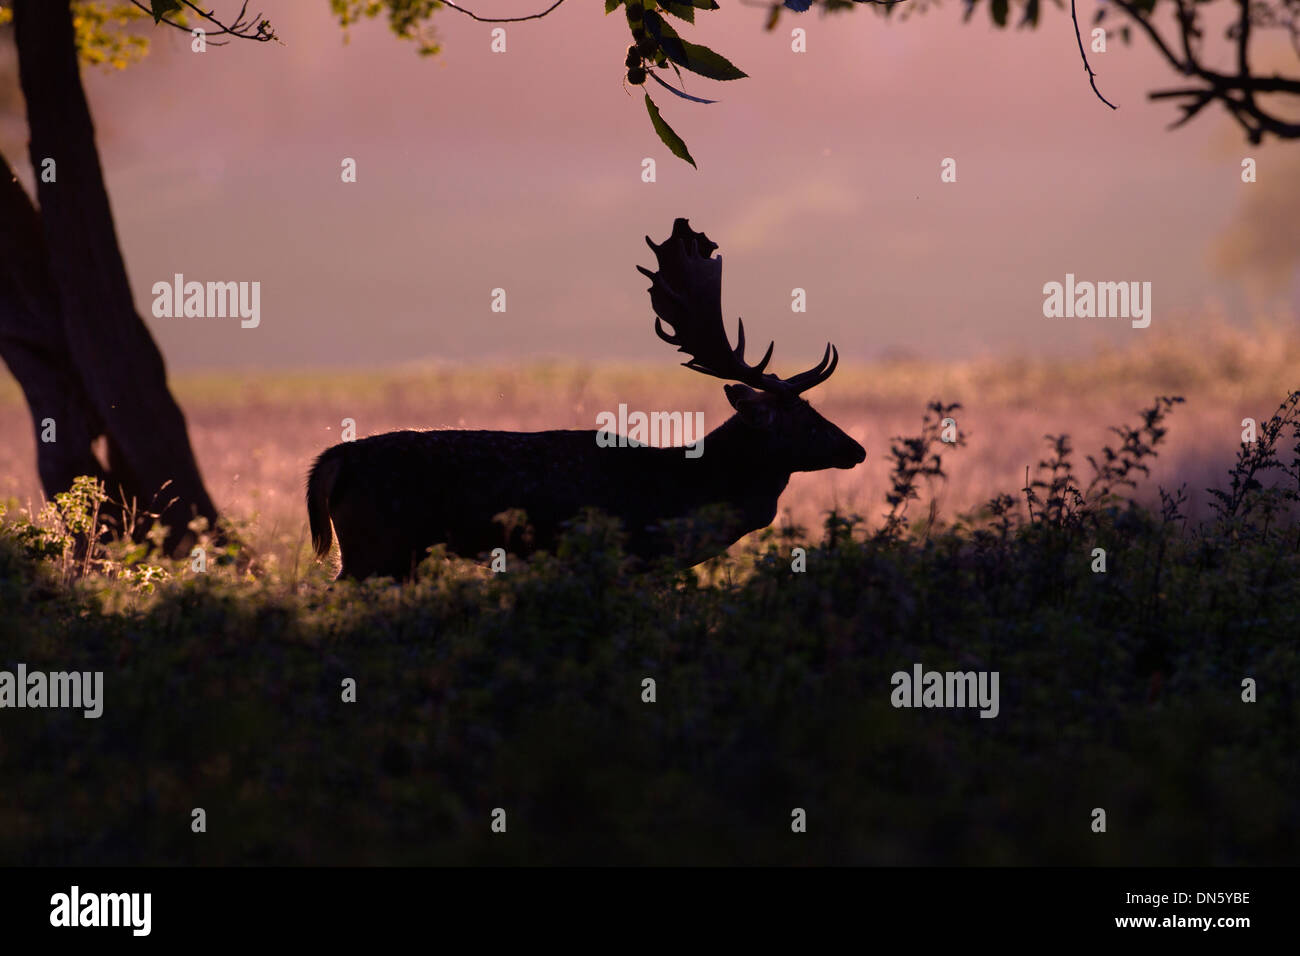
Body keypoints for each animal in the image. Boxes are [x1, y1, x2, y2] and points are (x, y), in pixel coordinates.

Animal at [306, 218, 863, 574]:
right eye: (802, 416)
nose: (856, 448)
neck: (683, 492)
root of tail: (332, 460)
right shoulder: (631, 555)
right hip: (378, 545)